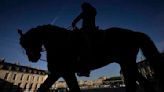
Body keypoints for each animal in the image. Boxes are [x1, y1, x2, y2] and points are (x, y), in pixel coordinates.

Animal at [18, 24, 163, 92]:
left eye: (28, 42)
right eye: (22, 46)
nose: (32, 58)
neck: (60, 42)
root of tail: (134, 33)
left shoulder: (62, 72)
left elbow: (44, 87)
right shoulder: (63, 73)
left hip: (127, 62)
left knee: (134, 83)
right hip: (126, 63)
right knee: (142, 83)